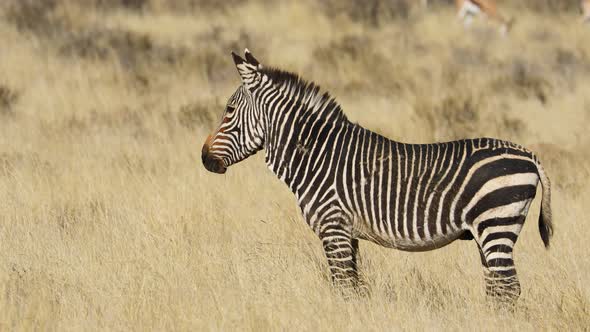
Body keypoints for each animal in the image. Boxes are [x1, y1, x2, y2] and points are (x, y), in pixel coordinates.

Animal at [202, 49, 556, 304]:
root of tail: (529, 155)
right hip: (490, 231)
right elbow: (354, 287)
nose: (204, 158)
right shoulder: (349, 234)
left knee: (507, 289)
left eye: (229, 111)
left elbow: (343, 288)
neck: (317, 155)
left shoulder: (333, 228)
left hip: (496, 224)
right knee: (499, 288)